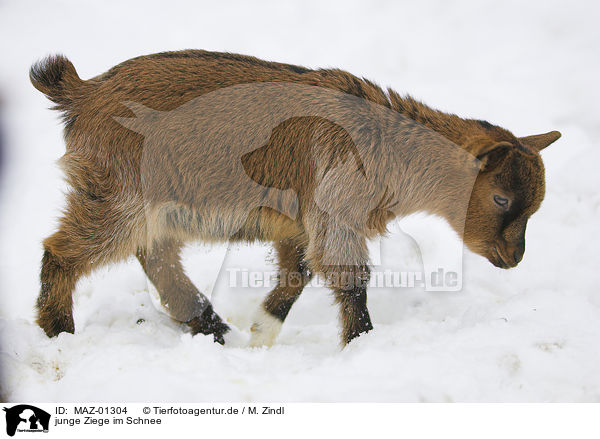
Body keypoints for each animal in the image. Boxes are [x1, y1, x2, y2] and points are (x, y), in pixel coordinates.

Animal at [30, 49, 560, 348]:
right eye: (500, 198)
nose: (514, 256)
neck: (383, 142)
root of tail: (82, 93)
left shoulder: (300, 224)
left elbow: (297, 273)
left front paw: (261, 335)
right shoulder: (335, 207)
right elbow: (348, 279)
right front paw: (360, 346)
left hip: (152, 206)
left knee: (156, 256)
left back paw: (213, 329)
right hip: (120, 195)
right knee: (64, 251)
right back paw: (59, 333)